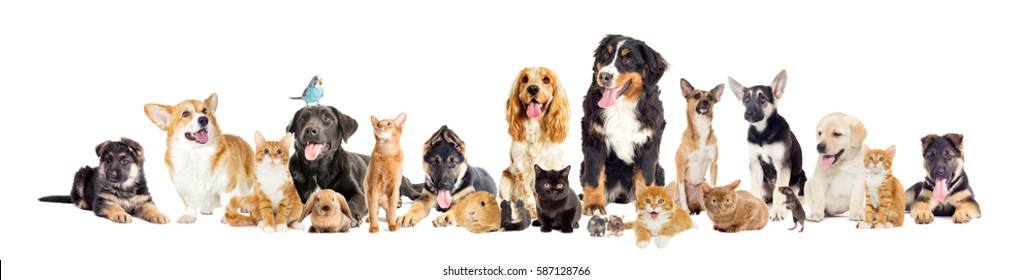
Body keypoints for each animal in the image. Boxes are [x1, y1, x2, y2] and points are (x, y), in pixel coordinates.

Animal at [38, 139, 167, 225]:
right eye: (108, 160)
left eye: (124, 161)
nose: (111, 174)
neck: (123, 187)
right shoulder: (102, 201)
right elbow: (113, 206)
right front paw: (120, 213)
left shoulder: (144, 201)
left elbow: (151, 207)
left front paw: (158, 214)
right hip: (81, 174)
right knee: (75, 197)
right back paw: (83, 203)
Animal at [286, 105, 418, 228]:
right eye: (303, 119)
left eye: (326, 118)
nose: (310, 130)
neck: (317, 169)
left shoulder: (359, 193)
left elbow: (352, 202)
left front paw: (351, 216)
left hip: (403, 184)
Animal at [582, 34, 668, 215]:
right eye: (605, 55)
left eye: (628, 60)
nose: (604, 76)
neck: (622, 106)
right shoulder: (594, 139)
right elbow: (594, 177)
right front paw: (593, 205)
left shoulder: (648, 145)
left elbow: (645, 177)